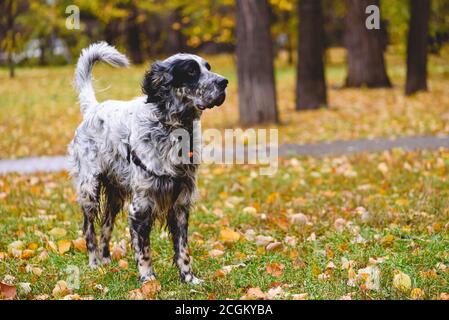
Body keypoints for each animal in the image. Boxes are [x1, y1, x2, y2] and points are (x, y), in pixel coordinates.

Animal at [69, 41, 228, 284]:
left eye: (208, 67)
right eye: (191, 71)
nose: (224, 82)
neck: (172, 129)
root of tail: (93, 109)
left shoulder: (181, 203)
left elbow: (183, 249)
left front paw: (189, 278)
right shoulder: (140, 207)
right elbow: (143, 251)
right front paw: (148, 281)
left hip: (116, 196)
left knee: (106, 227)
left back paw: (106, 262)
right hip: (89, 191)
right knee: (89, 229)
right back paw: (95, 263)